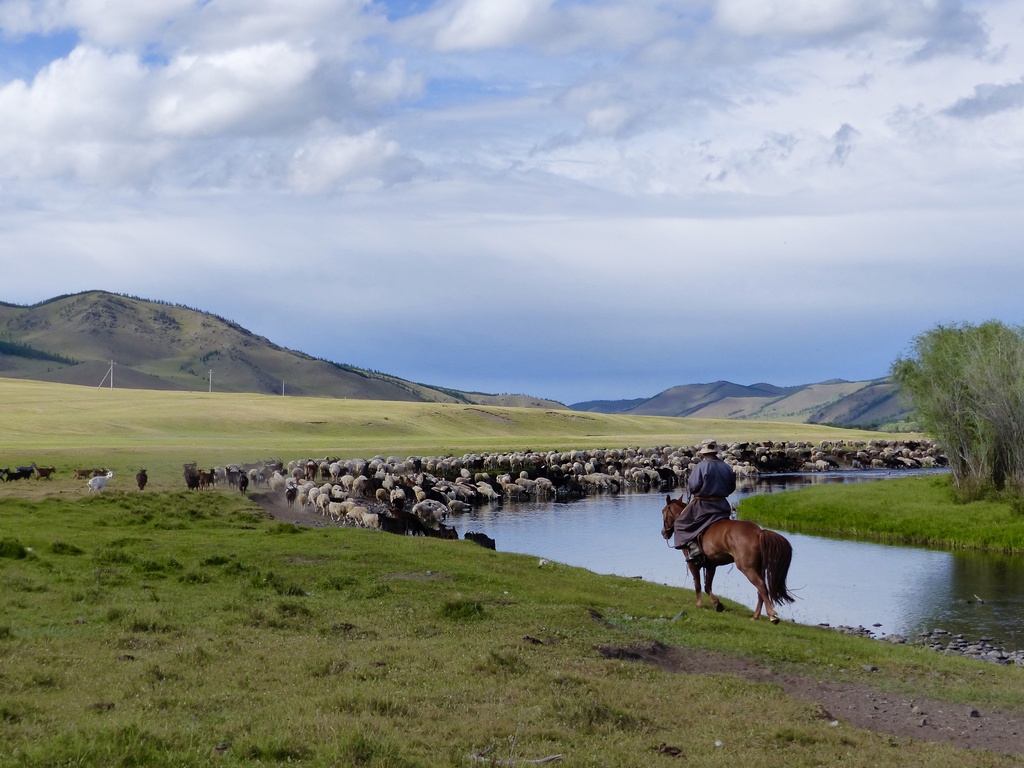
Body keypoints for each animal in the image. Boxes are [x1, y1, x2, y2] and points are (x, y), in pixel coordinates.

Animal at [659, 493, 794, 626]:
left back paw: (772, 615)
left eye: (664, 511)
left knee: (761, 586)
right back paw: (756, 616)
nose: (664, 533)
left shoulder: (693, 564)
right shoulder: (711, 565)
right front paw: (717, 604)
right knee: (760, 590)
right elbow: (707, 586)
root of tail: (758, 532)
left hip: (747, 568)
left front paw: (699, 604)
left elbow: (698, 584)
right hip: (758, 568)